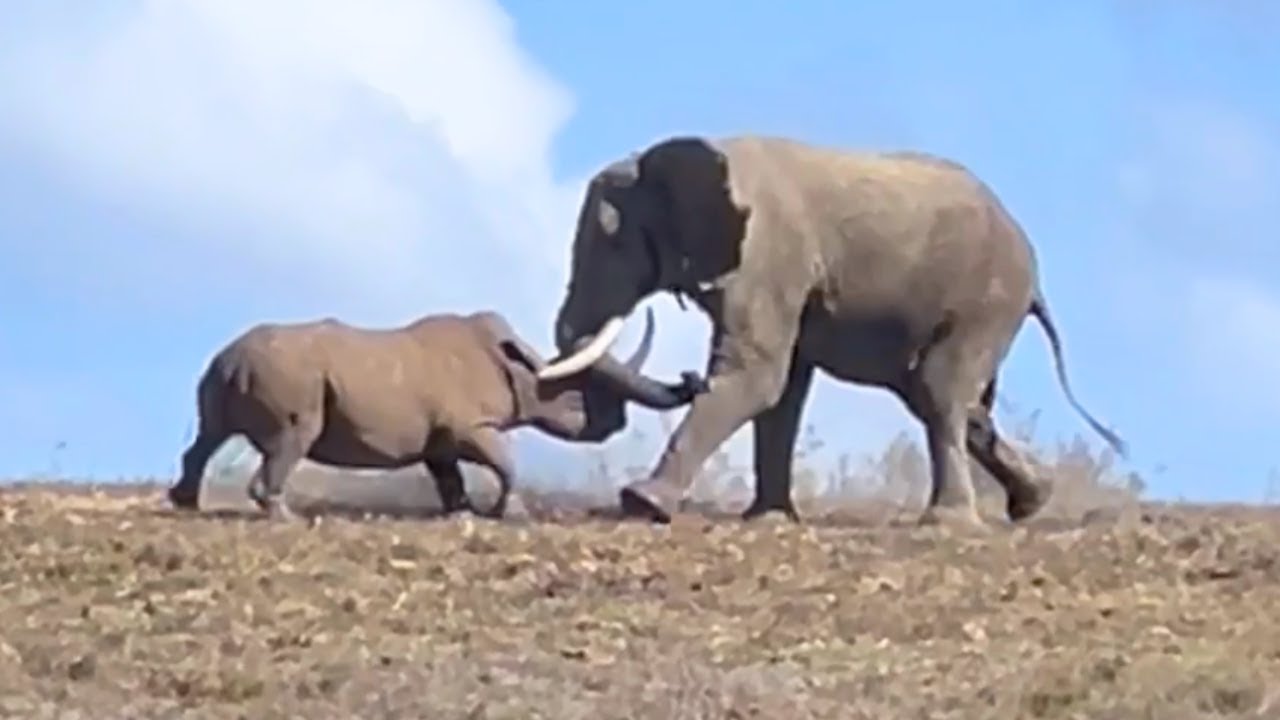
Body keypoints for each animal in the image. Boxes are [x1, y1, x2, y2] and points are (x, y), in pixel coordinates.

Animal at [166, 308, 706, 520]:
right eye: (580, 404)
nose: (692, 379)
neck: (525, 371)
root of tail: (233, 359)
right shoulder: (471, 426)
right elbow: (504, 461)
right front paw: (512, 512)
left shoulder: (440, 439)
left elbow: (449, 475)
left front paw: (461, 512)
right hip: (290, 376)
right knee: (292, 438)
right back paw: (287, 517)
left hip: (224, 369)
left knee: (209, 435)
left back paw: (186, 503)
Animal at [537, 134, 1126, 530]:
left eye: (613, 239)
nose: (686, 377)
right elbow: (782, 390)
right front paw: (768, 520)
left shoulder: (770, 255)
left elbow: (758, 376)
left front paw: (641, 503)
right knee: (951, 401)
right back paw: (1032, 502)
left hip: (988, 298)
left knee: (939, 391)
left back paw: (948, 525)